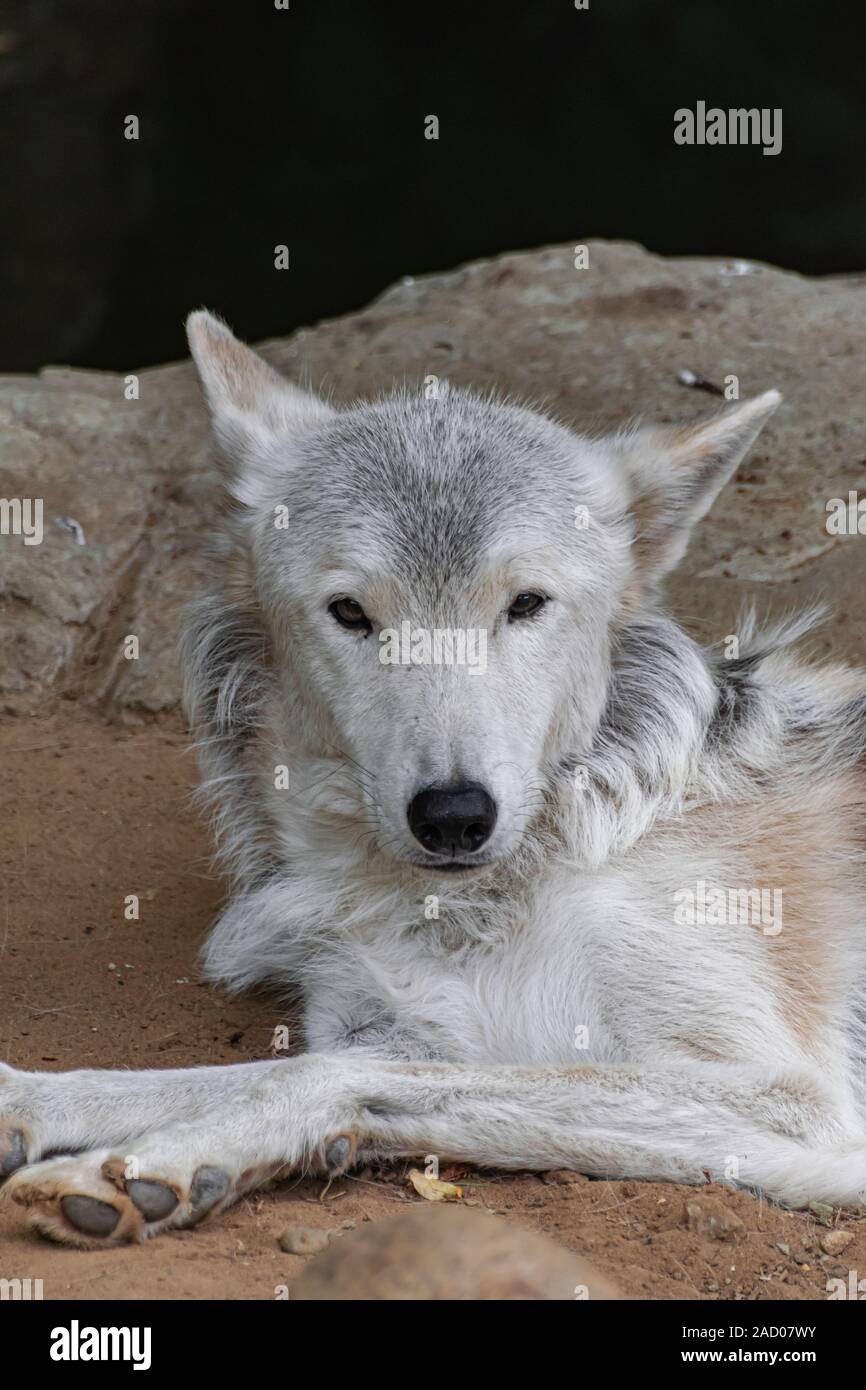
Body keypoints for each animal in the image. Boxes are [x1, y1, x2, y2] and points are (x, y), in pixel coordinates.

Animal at [2, 311, 866, 1247]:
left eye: (525, 605)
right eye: (351, 613)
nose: (454, 814)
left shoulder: (797, 1102)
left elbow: (307, 1076)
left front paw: (148, 1164)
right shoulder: (395, 1029)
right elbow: (207, 1077)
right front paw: (38, 1105)